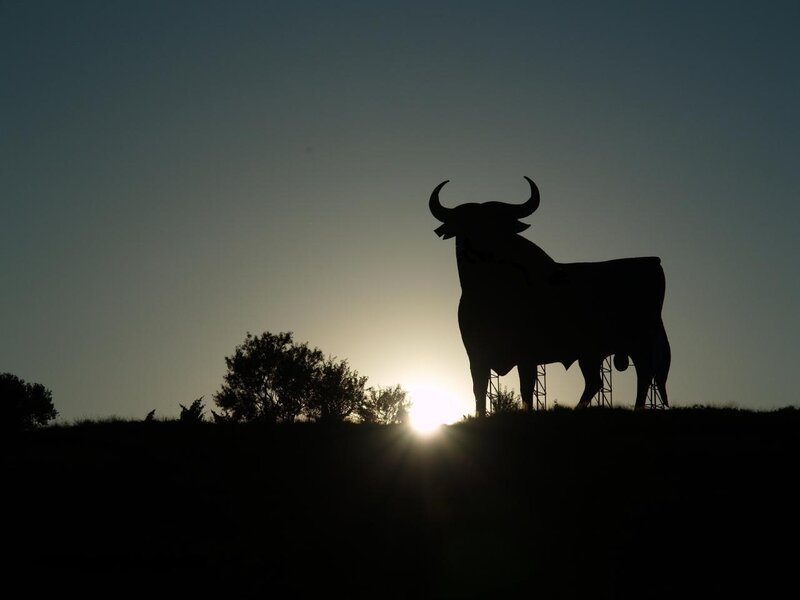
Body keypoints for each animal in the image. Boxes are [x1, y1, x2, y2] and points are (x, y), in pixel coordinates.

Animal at [429, 176, 670, 416]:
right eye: (465, 224)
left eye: (499, 226)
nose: (481, 250)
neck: (489, 290)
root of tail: (653, 262)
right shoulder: (476, 354)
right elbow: (478, 388)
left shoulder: (527, 354)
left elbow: (526, 386)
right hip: (591, 353)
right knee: (595, 381)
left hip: (640, 341)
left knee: (644, 373)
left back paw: (638, 408)